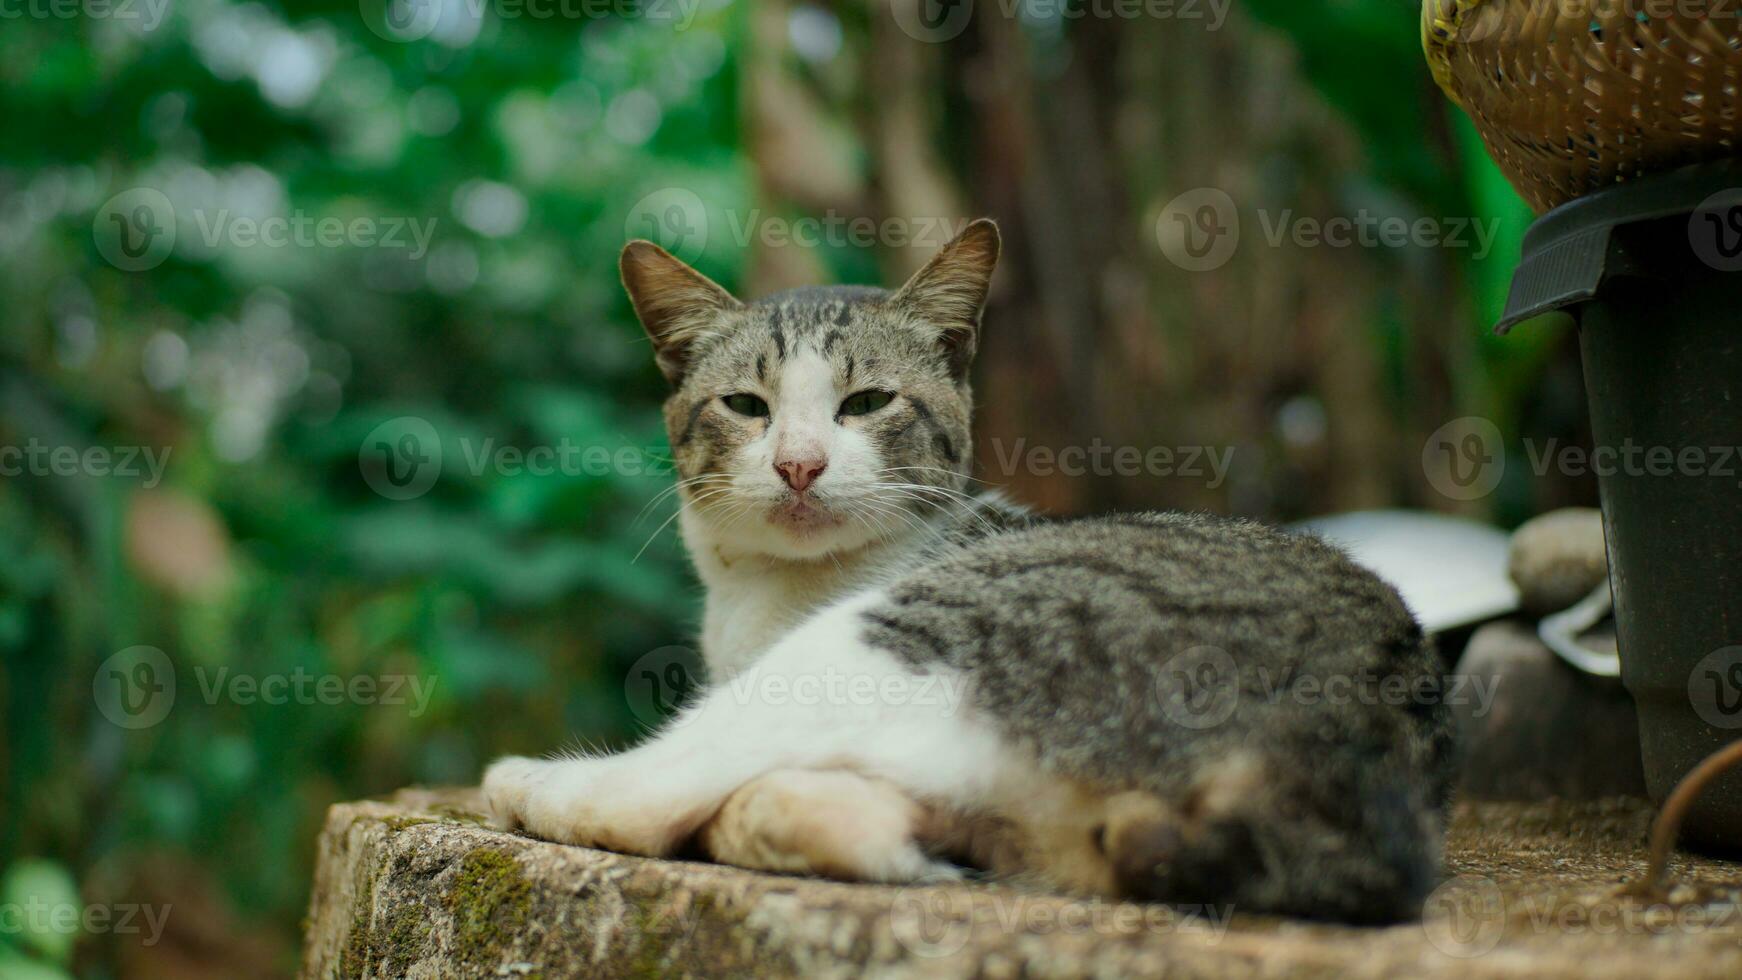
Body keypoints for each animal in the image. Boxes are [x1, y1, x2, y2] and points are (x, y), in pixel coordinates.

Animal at [484, 218, 1449, 926]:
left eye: (868, 401)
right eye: (747, 406)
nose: (798, 464)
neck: (773, 593)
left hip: (908, 632)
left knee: (646, 795)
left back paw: (531, 781)